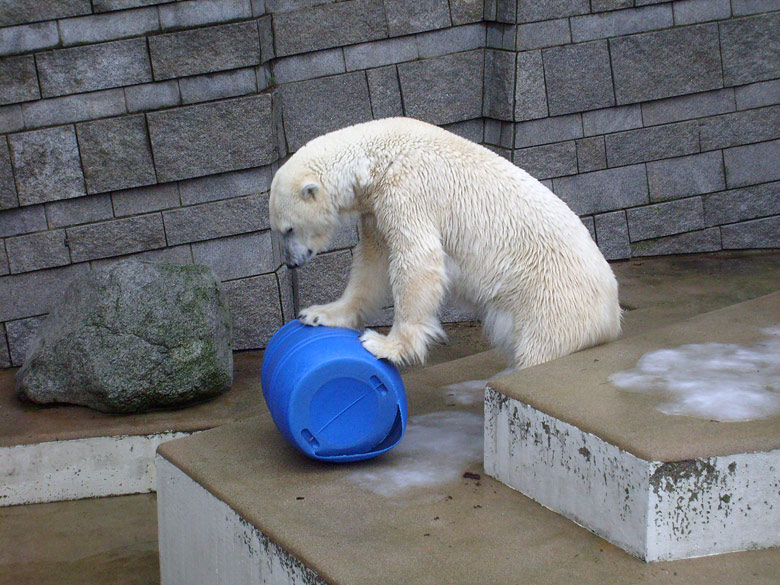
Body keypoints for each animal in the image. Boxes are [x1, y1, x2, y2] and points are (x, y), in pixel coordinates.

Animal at [268, 116, 620, 368]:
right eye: (279, 231)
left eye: (288, 229)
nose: (292, 263)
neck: (374, 159)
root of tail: (613, 313)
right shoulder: (375, 207)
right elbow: (372, 264)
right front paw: (319, 314)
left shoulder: (408, 190)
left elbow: (417, 260)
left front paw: (385, 345)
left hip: (552, 301)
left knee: (539, 351)